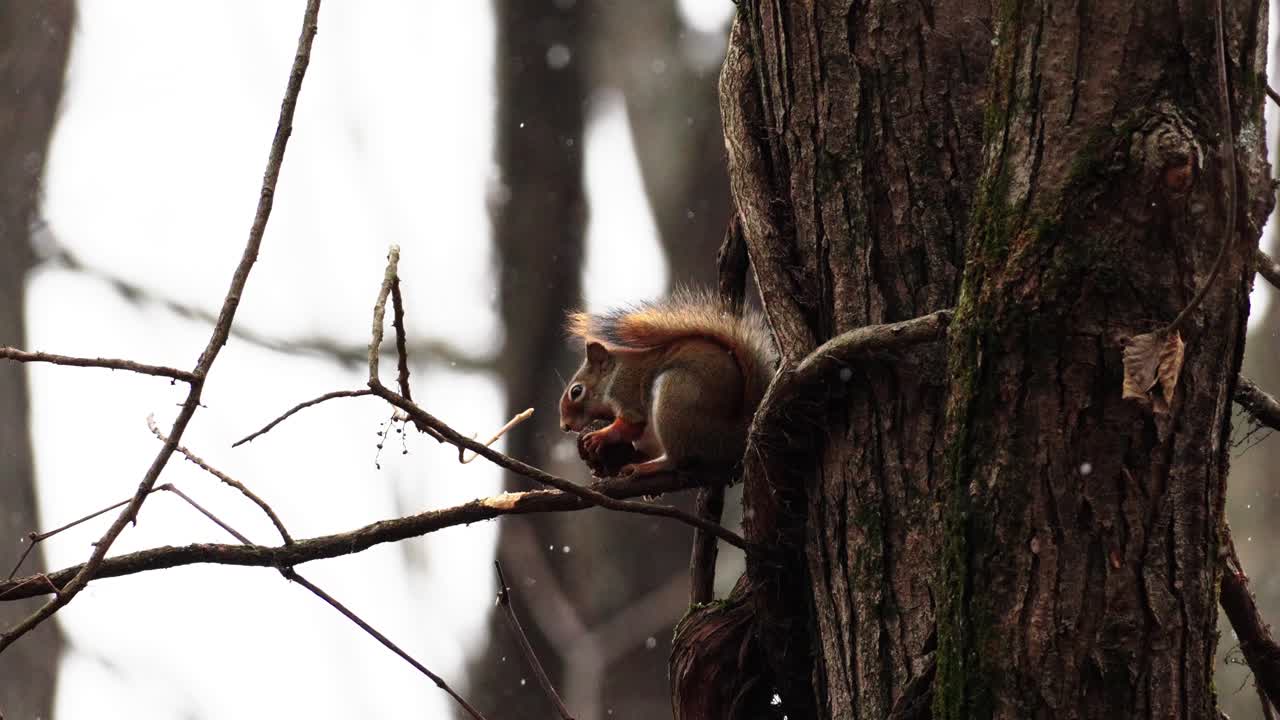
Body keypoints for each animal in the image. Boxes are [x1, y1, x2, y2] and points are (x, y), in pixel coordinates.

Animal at [558, 290, 776, 478]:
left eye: (576, 391)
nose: (565, 426)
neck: (613, 374)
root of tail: (737, 430)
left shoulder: (627, 392)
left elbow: (631, 425)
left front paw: (600, 435)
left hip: (674, 399)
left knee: (676, 458)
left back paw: (647, 467)